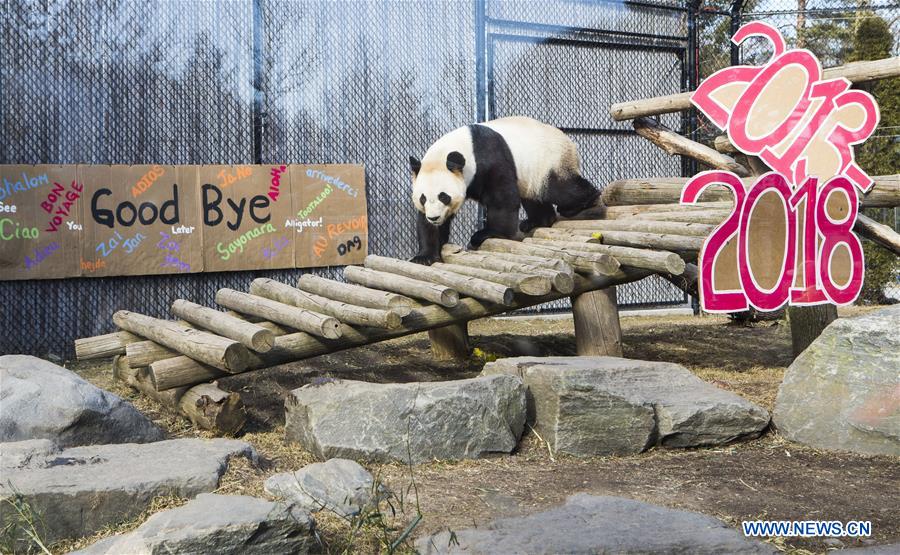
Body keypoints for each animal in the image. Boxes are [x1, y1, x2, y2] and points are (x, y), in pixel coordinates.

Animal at [408, 116, 602, 265]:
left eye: (444, 196)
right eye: (423, 198)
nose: (434, 217)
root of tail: (570, 142)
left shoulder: (490, 158)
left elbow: (502, 199)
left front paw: (488, 234)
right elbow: (426, 225)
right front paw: (424, 256)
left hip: (549, 160)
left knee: (559, 188)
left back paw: (582, 202)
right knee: (534, 197)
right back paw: (536, 221)